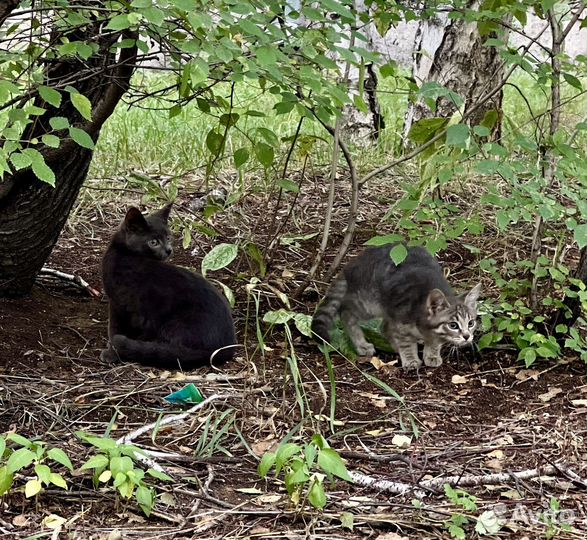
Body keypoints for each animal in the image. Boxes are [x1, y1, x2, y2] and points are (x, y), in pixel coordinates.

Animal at [101, 205, 237, 370]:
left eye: (168, 238)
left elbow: (114, 328)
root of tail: (224, 349)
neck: (123, 252)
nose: (168, 250)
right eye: (153, 242)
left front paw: (111, 352)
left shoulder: (124, 303)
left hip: (175, 323)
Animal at [312, 246, 482, 370]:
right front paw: (411, 359)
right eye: (453, 325)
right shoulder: (401, 321)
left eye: (471, 323)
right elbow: (406, 342)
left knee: (384, 326)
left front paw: (432, 355)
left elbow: (434, 342)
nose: (467, 336)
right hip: (369, 304)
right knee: (346, 312)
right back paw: (361, 344)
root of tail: (353, 262)